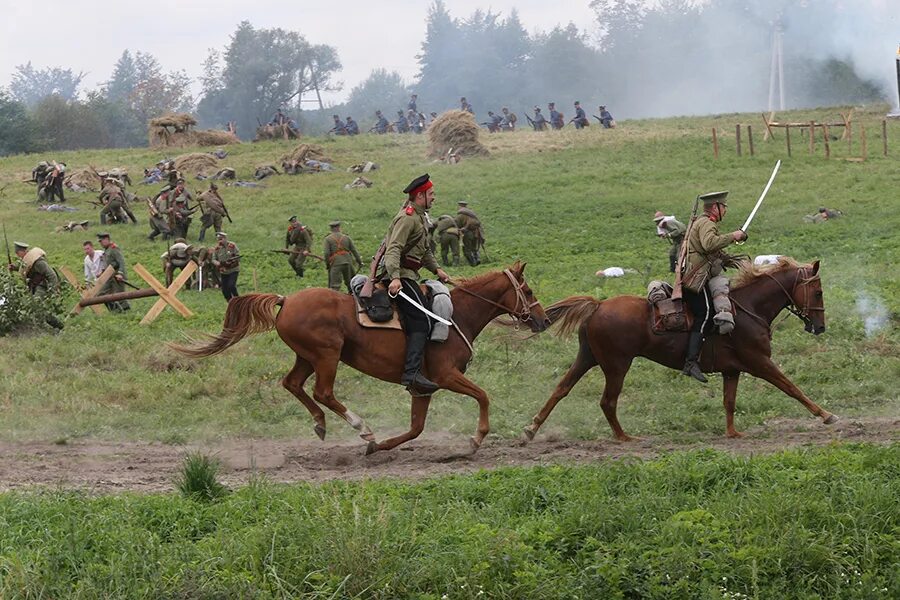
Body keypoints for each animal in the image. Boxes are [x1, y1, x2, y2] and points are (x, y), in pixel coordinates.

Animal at [171, 262, 544, 454]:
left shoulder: (423, 386)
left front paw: (382, 447)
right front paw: (477, 438)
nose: (542, 320)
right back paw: (361, 428)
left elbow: (416, 428)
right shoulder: (445, 375)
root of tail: (286, 300)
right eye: (527, 290)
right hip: (327, 355)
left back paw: (323, 424)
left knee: (292, 384)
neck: (457, 316)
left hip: (306, 356)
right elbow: (483, 395)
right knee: (323, 392)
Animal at [524, 258, 840, 440]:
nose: (820, 327)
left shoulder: (732, 370)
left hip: (587, 358)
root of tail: (598, 305)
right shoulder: (760, 363)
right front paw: (826, 415)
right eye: (818, 292)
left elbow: (729, 402)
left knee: (561, 389)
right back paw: (624, 438)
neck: (748, 308)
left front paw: (732, 433)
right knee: (607, 402)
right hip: (616, 366)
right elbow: (792, 388)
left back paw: (531, 429)